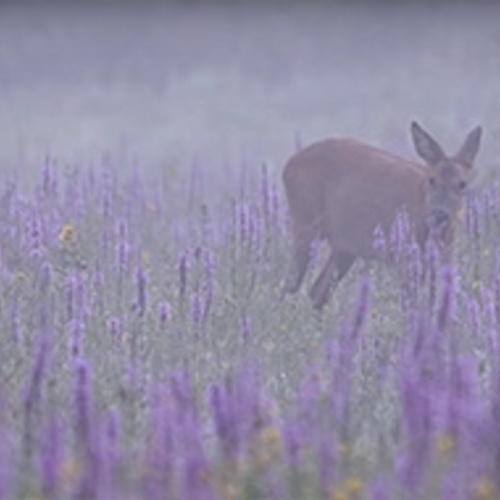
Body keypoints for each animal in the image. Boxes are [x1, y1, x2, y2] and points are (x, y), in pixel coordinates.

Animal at [282, 121, 480, 308]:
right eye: (432, 180)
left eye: (462, 184)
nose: (440, 214)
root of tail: (288, 165)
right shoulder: (406, 256)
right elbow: (410, 301)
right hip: (305, 221)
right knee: (290, 284)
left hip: (344, 246)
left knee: (318, 291)